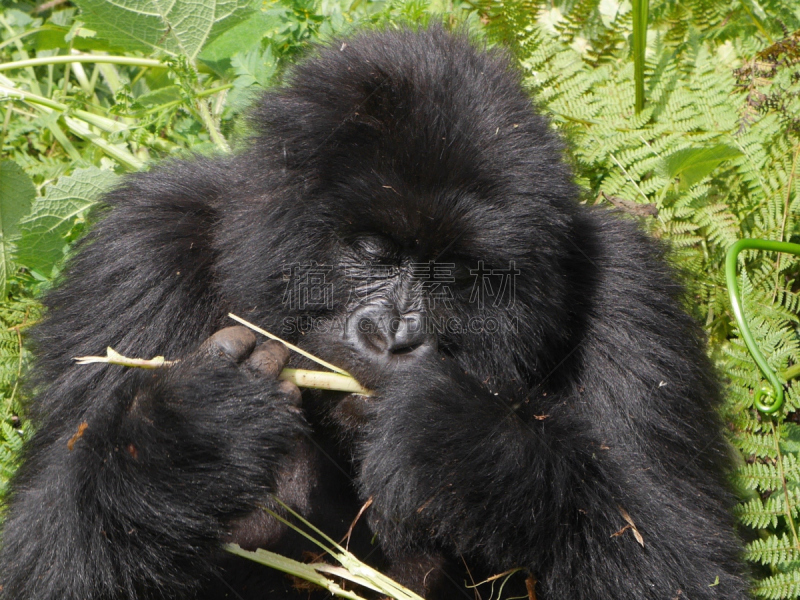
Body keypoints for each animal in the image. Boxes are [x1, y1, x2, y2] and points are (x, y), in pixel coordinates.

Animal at [0, 25, 752, 600]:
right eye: (374, 250)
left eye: (456, 274)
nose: (393, 337)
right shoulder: (137, 250)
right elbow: (38, 557)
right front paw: (192, 432)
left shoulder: (628, 293)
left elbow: (681, 561)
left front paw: (457, 441)